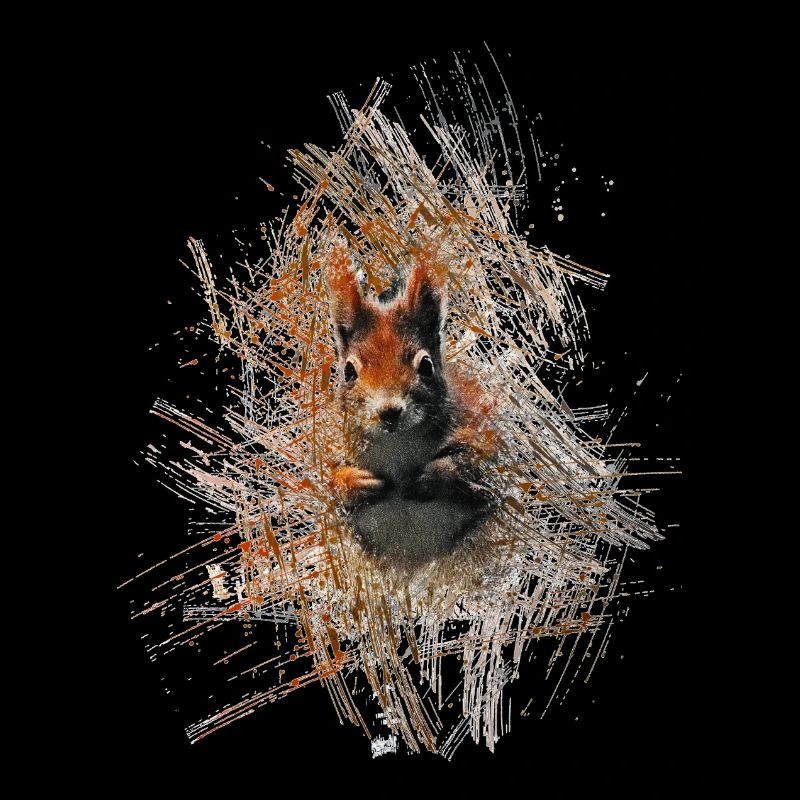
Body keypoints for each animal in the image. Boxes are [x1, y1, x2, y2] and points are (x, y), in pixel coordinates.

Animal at [324, 241, 500, 568]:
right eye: (348, 371)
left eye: (426, 365)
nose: (389, 411)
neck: (398, 444)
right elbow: (327, 481)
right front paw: (356, 482)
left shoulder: (481, 431)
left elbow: (478, 463)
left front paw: (433, 474)